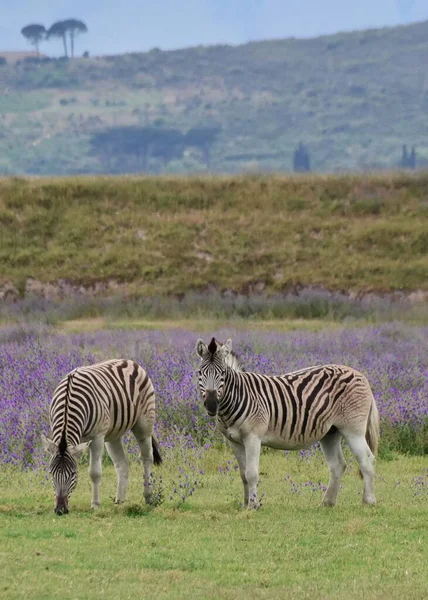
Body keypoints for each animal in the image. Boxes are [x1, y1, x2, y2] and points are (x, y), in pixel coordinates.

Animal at [42, 358, 162, 512]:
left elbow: (94, 472)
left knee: (147, 458)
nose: (60, 510)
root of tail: (127, 360)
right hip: (113, 434)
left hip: (144, 423)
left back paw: (148, 497)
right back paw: (120, 501)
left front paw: (95, 505)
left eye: (73, 473)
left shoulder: (97, 437)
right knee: (122, 463)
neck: (69, 402)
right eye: (51, 473)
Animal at [196, 336, 380, 508]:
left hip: (352, 430)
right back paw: (327, 502)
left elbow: (252, 473)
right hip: (330, 432)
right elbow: (243, 475)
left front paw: (254, 505)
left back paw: (368, 501)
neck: (236, 398)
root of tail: (361, 375)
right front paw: (246, 504)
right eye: (199, 373)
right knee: (338, 465)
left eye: (223, 374)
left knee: (366, 459)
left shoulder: (253, 437)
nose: (211, 404)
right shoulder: (233, 440)